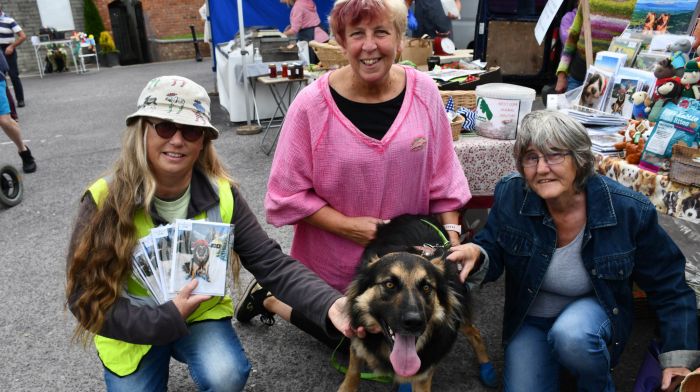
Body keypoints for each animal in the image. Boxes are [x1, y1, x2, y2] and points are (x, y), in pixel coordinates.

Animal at [338, 216, 486, 390]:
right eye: (389, 284)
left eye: (427, 287)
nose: (414, 322)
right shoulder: (358, 343)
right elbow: (352, 373)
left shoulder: (423, 374)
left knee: (475, 333)